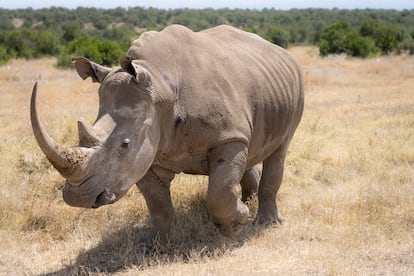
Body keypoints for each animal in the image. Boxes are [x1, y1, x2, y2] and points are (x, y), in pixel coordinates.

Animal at [30, 24, 304, 238]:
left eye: (125, 144)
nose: (79, 197)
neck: (158, 88)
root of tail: (281, 51)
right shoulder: (148, 152)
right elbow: (158, 204)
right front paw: (157, 244)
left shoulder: (227, 137)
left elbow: (219, 191)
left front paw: (237, 226)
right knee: (253, 146)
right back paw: (248, 200)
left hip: (295, 86)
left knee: (280, 149)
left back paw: (267, 222)